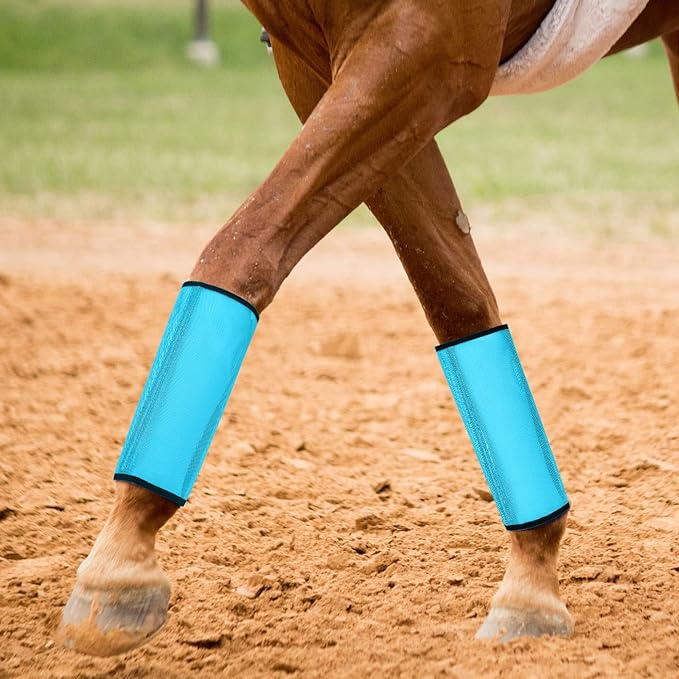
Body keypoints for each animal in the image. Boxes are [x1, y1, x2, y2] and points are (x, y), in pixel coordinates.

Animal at [58, 0, 679, 657]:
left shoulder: (427, 49)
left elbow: (244, 246)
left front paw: (120, 564)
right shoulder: (316, 65)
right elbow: (455, 298)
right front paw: (532, 581)